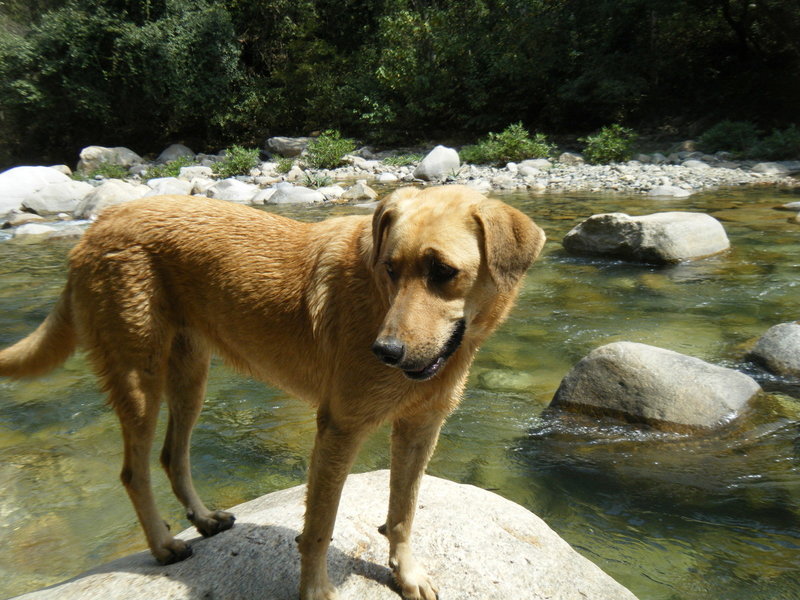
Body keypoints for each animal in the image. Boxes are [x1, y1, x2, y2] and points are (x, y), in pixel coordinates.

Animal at [0, 185, 544, 596]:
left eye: (444, 272)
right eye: (390, 268)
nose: (384, 351)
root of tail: (96, 225)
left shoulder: (420, 429)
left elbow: (403, 513)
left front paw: (407, 576)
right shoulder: (339, 429)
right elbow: (319, 528)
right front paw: (316, 592)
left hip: (190, 374)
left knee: (172, 456)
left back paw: (202, 519)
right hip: (139, 376)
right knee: (135, 471)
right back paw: (163, 546)